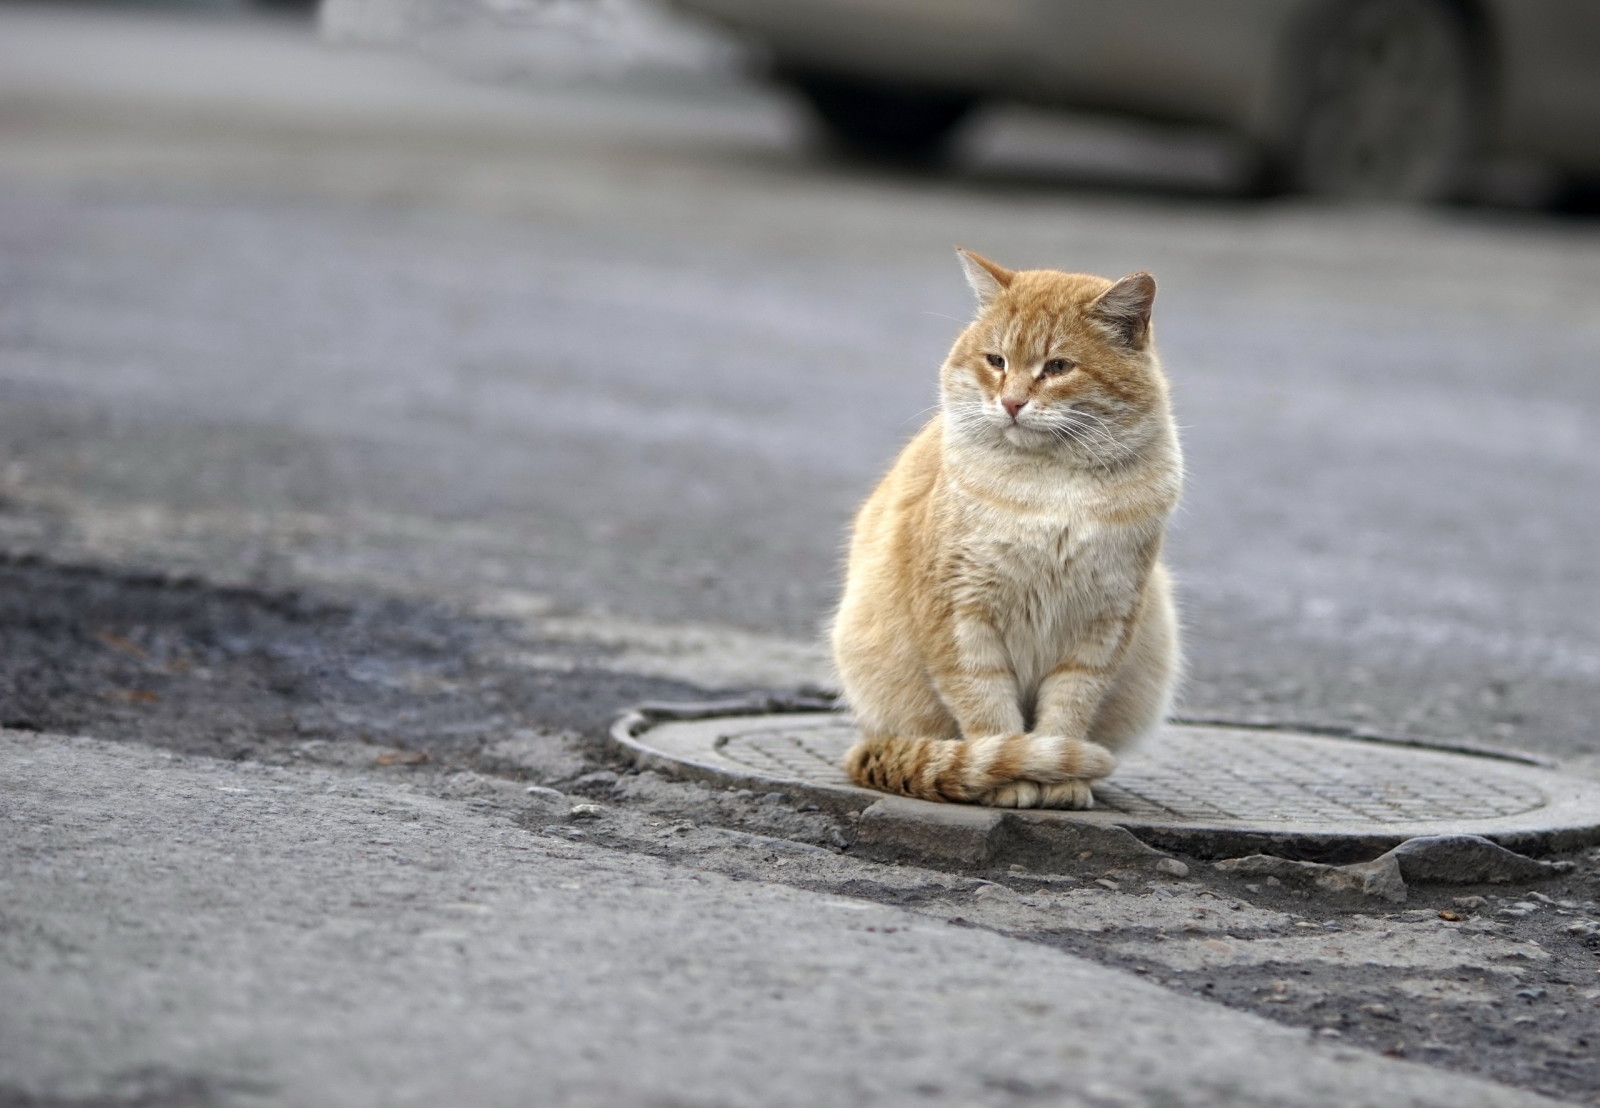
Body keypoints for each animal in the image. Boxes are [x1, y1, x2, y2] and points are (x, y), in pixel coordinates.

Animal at [832, 248, 1184, 803]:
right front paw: (1015, 778)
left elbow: (1068, 710)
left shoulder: (1102, 624)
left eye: (1058, 367)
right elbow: (988, 710)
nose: (1012, 402)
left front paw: (1062, 782)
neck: (1053, 488)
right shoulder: (960, 615)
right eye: (996, 361)